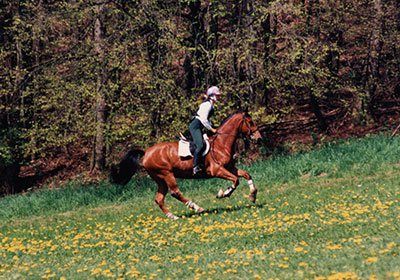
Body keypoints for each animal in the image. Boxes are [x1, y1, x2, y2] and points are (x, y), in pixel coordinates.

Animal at [111, 110, 262, 220]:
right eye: (250, 122)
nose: (259, 138)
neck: (221, 143)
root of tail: (146, 152)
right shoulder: (217, 170)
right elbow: (236, 181)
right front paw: (223, 193)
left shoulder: (230, 168)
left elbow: (246, 175)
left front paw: (252, 195)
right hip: (166, 174)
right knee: (175, 192)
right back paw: (197, 208)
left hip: (160, 179)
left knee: (159, 199)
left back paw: (173, 216)